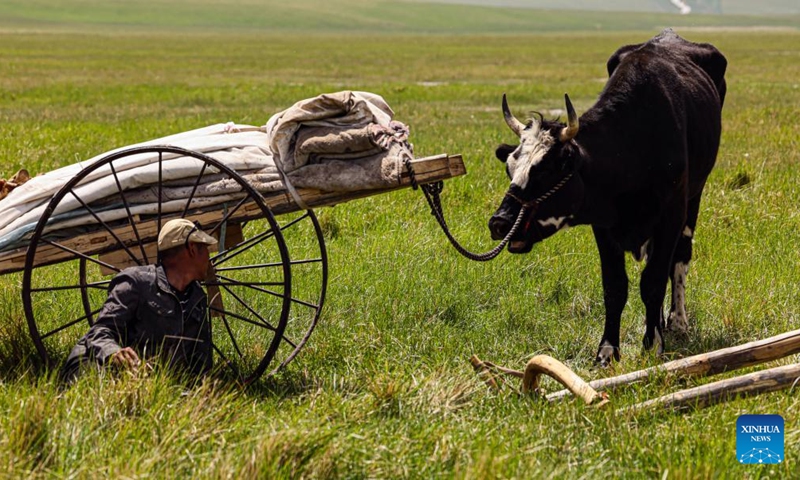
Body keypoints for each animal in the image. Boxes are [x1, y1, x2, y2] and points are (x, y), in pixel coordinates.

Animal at [490, 30, 728, 366]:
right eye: (510, 166)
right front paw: (607, 351)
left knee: (680, 258)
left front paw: (653, 343)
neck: (632, 146)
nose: (499, 222)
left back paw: (677, 321)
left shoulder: (670, 217)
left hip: (695, 196)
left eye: (547, 170)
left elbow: (653, 281)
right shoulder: (604, 227)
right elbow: (615, 286)